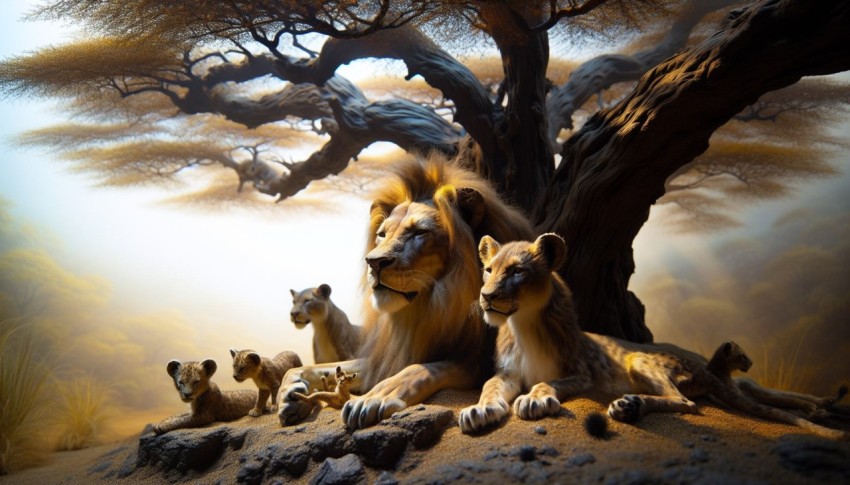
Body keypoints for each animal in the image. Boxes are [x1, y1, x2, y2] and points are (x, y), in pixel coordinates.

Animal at [276, 155, 534, 429]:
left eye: (420, 232)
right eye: (381, 234)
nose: (373, 262)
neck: (426, 308)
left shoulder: (479, 360)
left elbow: (423, 368)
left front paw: (374, 397)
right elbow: (320, 367)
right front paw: (290, 391)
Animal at [459, 233, 847, 440]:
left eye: (517, 272)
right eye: (489, 270)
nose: (487, 296)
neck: (522, 324)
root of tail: (707, 369)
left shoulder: (582, 372)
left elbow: (546, 382)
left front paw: (534, 400)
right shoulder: (508, 372)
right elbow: (490, 387)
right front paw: (479, 411)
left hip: (640, 359)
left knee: (686, 402)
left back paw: (630, 405)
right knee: (752, 389)